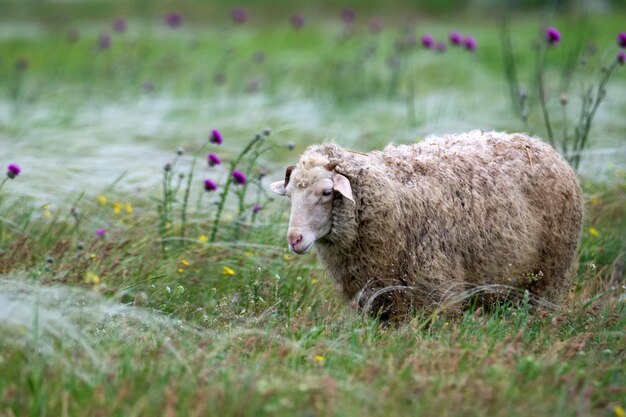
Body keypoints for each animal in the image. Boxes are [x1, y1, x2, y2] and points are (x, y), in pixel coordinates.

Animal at [270, 132, 584, 320]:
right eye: (290, 195)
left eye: (326, 192)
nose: (295, 239)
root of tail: (538, 142)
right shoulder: (377, 299)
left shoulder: (436, 293)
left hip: (548, 273)